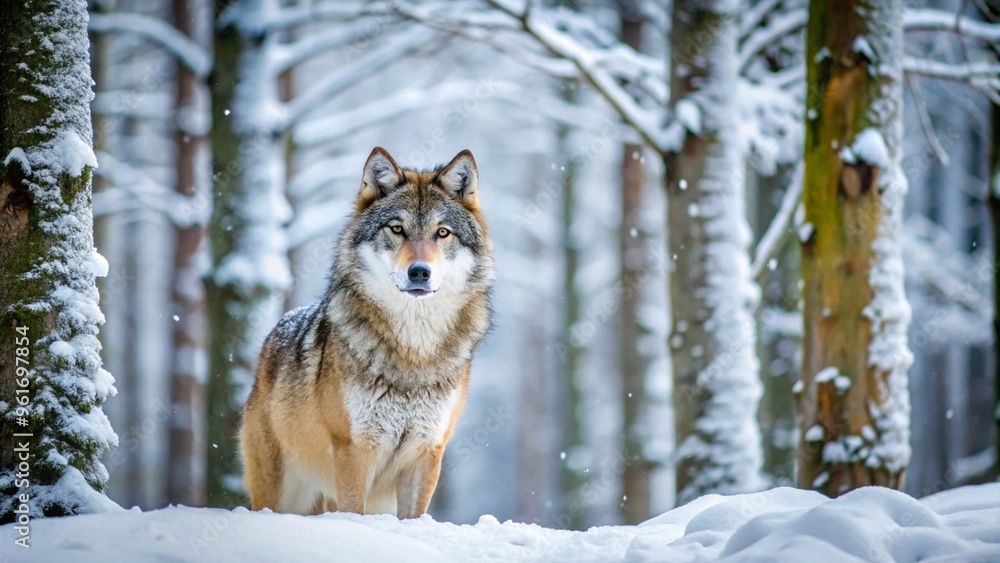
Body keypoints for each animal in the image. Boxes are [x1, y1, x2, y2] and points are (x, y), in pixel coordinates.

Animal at [239, 147, 494, 518]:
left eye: (443, 233)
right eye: (397, 229)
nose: (419, 272)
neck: (413, 352)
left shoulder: (428, 451)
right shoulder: (354, 449)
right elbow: (352, 513)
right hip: (281, 493)